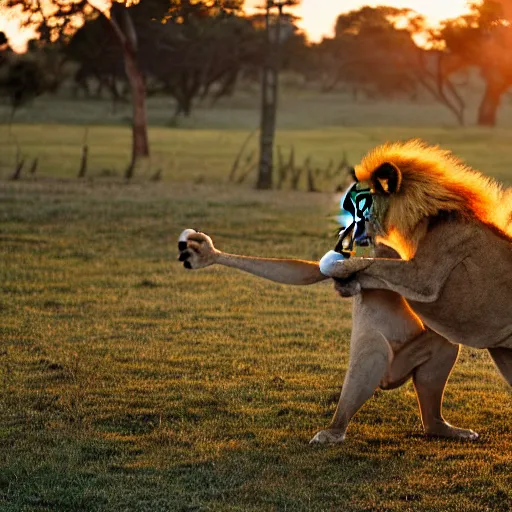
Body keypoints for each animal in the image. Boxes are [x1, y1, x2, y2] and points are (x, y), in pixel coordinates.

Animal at [178, 230, 478, 442]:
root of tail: (391, 380)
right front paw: (207, 254)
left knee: (443, 345)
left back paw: (438, 426)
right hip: (386, 364)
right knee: (372, 353)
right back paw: (335, 430)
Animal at [322, 140, 512, 388]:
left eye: (355, 207)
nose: (340, 231)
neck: (424, 219)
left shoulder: (423, 278)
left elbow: (375, 265)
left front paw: (339, 270)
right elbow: (377, 263)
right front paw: (346, 282)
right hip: (504, 353)